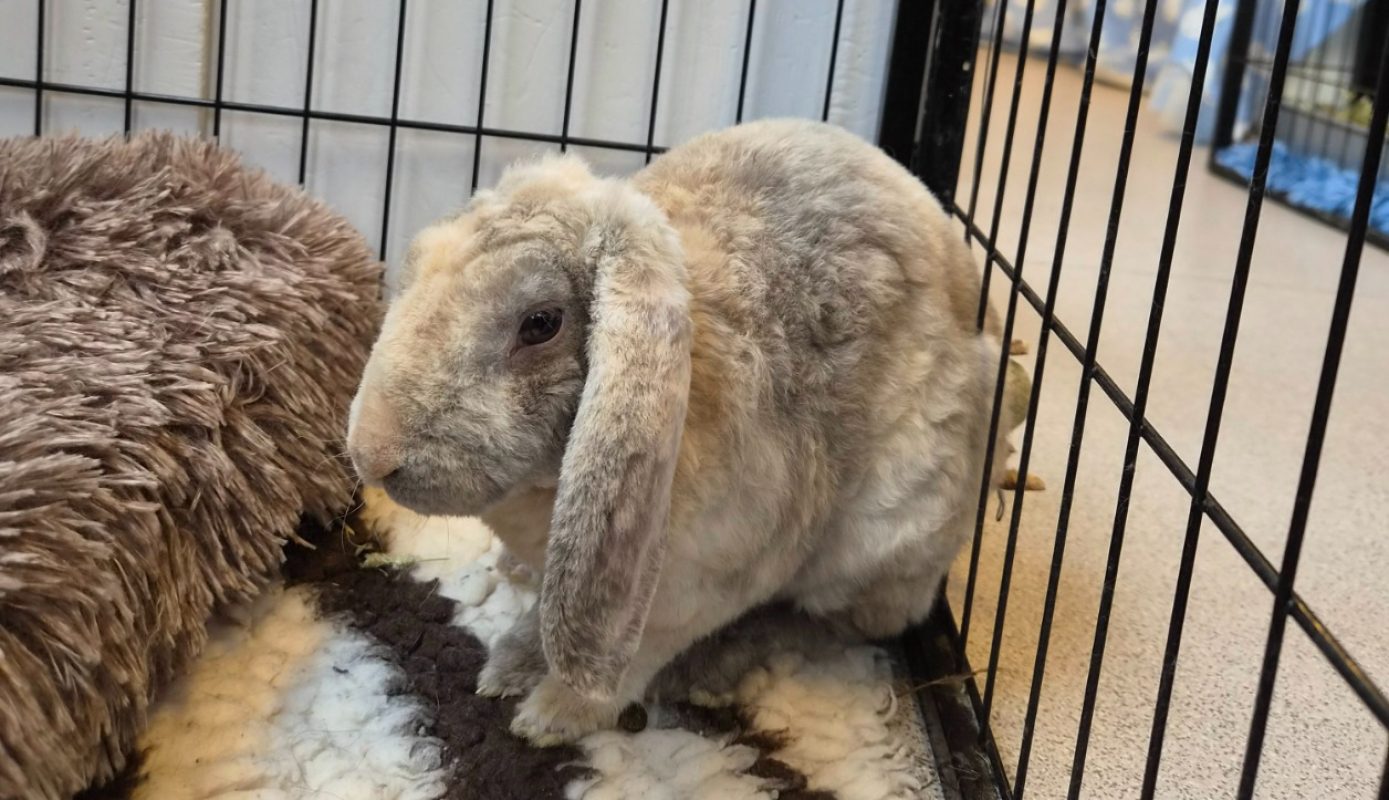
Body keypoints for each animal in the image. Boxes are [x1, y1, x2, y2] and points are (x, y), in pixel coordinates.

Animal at [346, 118, 1029, 746]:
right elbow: (552, 614)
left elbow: (625, 664)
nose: (370, 455)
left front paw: (550, 717)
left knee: (840, 624)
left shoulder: (688, 595)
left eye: (540, 323)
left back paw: (714, 665)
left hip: (887, 535)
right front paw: (510, 663)